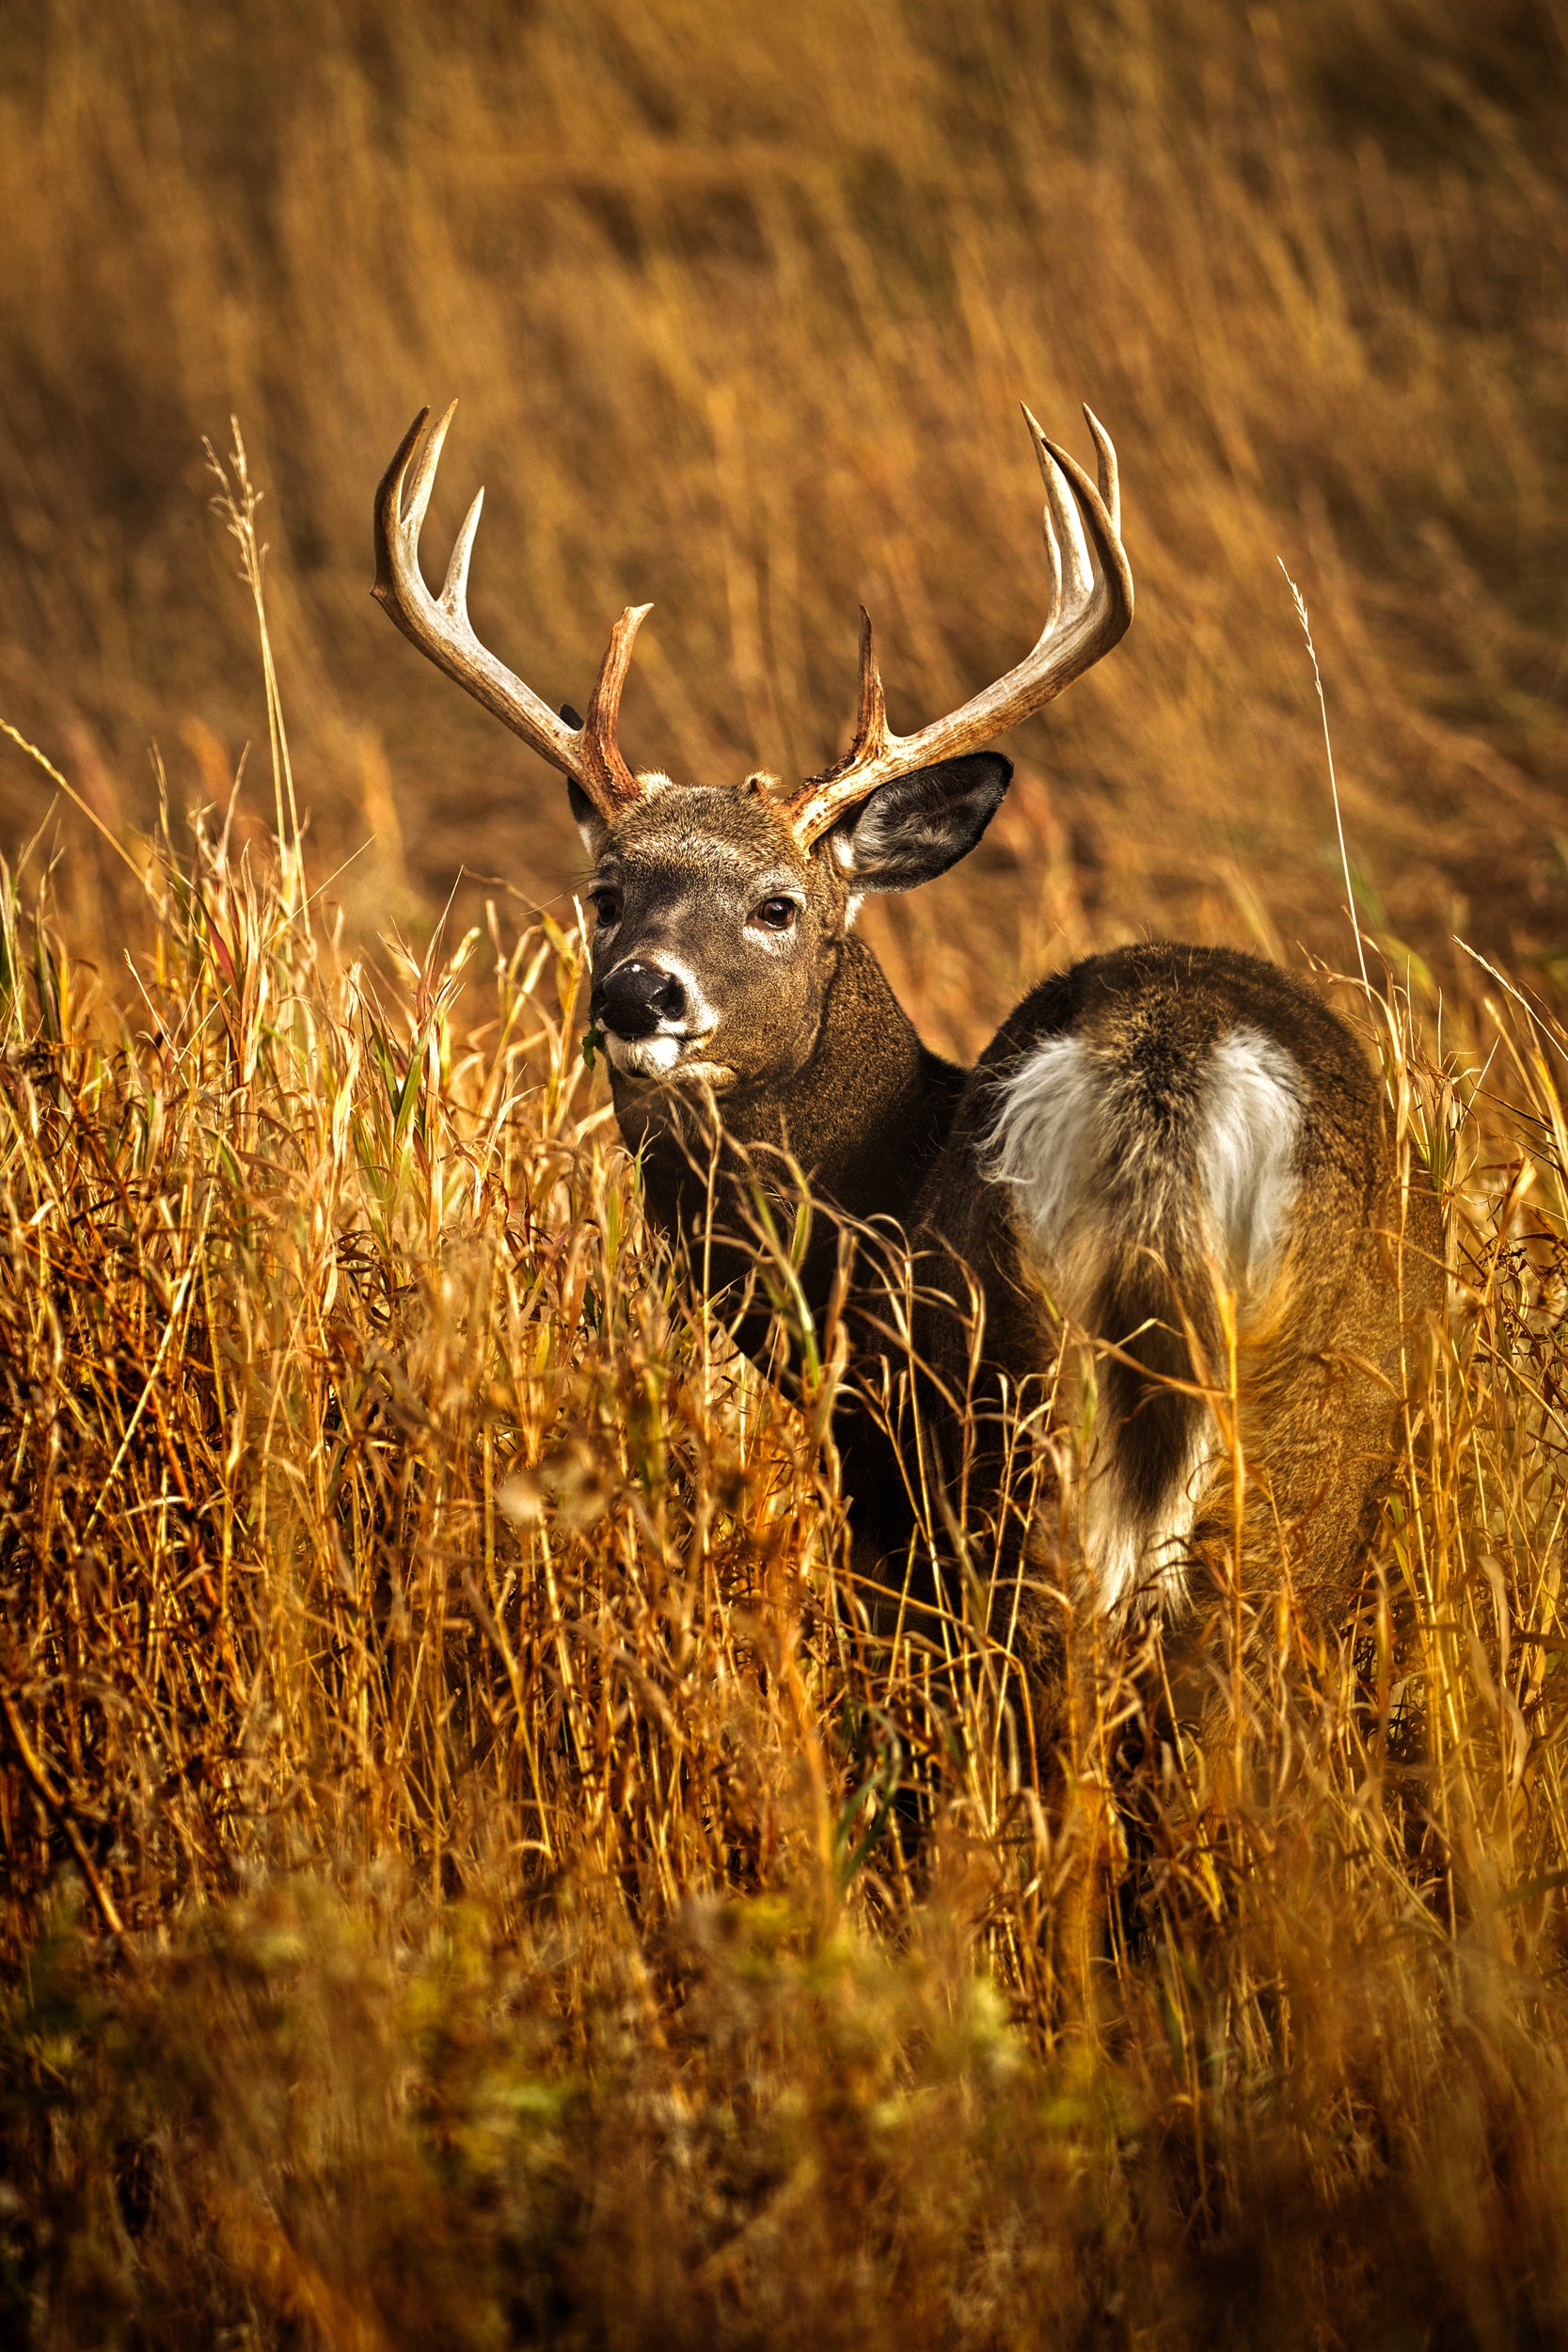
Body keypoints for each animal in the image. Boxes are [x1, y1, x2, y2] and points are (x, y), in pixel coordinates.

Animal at [372, 399, 1441, 1911]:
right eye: (603, 890)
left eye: (776, 904)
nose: (638, 996)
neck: (861, 1194)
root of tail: (1167, 1069)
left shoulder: (878, 1456)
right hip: (1317, 1417)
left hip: (1024, 1408)